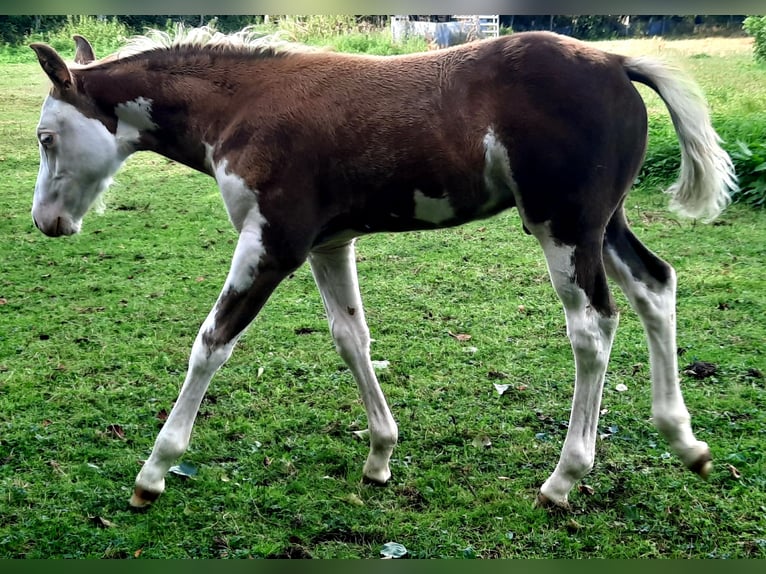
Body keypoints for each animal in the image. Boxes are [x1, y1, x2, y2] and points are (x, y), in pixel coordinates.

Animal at [29, 26, 737, 510]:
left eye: (45, 137)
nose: (45, 223)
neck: (243, 108)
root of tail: (616, 61)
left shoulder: (273, 244)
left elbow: (212, 342)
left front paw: (153, 472)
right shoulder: (328, 245)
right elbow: (351, 339)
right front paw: (379, 456)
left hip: (561, 227)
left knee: (593, 327)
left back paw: (564, 478)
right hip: (602, 224)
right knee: (655, 286)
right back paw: (685, 441)